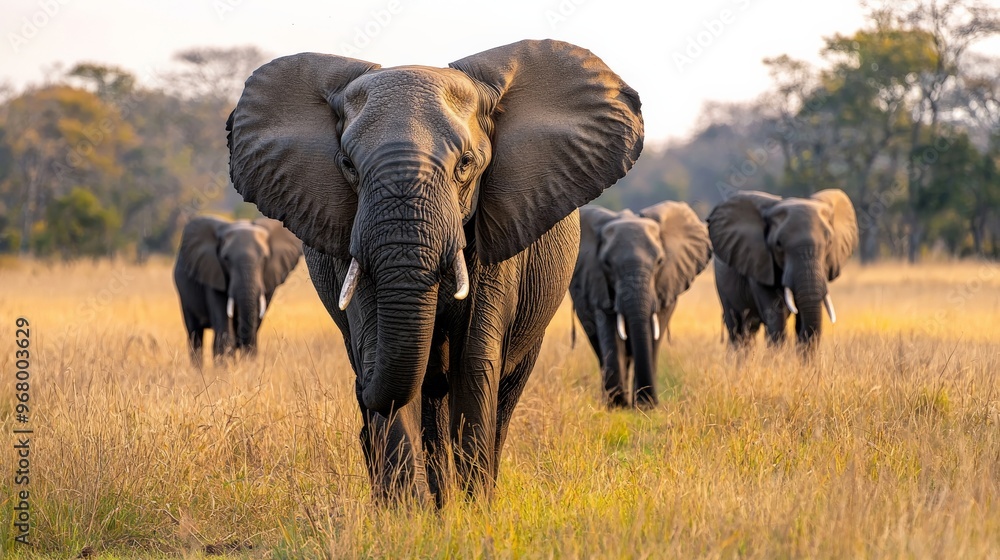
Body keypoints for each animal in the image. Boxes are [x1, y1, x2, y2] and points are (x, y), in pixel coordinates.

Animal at [173, 215, 302, 366]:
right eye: (226, 259)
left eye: (264, 258)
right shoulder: (213, 273)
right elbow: (224, 327)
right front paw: (226, 368)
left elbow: (254, 324)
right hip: (183, 295)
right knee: (195, 334)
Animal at [225, 39, 643, 504]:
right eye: (348, 165)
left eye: (465, 164)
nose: (360, 396)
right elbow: (384, 356)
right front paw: (407, 514)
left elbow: (474, 363)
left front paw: (474, 510)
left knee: (496, 397)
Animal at [569, 202, 712, 409]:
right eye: (607, 264)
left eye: (660, 261)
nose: (650, 401)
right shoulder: (597, 282)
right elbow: (610, 330)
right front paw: (618, 405)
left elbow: (654, 333)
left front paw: (644, 406)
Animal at [706, 189, 858, 349]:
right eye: (778, 244)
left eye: (829, 243)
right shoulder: (758, 262)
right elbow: (776, 316)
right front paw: (777, 354)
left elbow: (802, 317)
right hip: (722, 287)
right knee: (738, 327)